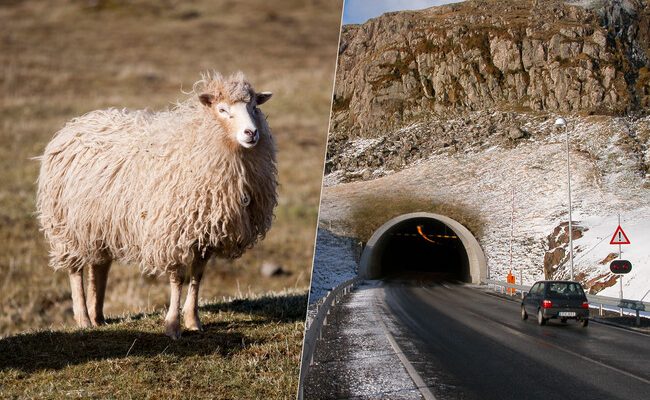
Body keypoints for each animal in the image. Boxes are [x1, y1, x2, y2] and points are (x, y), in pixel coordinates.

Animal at [36, 71, 276, 338]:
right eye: (222, 109)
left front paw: (193, 320)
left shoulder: (204, 231)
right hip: (66, 225)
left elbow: (197, 276)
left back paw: (98, 317)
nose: (251, 133)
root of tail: (73, 125)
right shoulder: (172, 231)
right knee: (75, 269)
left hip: (98, 224)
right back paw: (84, 319)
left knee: (99, 266)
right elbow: (178, 278)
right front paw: (172, 326)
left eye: (254, 107)